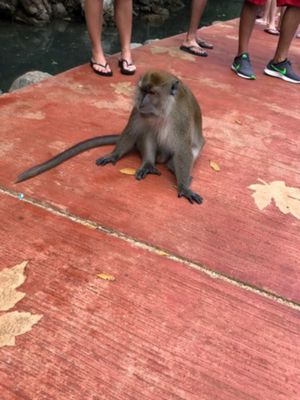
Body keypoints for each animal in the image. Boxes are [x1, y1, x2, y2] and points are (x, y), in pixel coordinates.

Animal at [15, 69, 205, 205]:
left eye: (151, 93)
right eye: (142, 90)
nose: (141, 101)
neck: (162, 110)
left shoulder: (180, 117)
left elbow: (183, 149)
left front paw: (183, 187)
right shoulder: (139, 110)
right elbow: (131, 130)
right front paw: (114, 155)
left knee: (190, 148)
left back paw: (173, 169)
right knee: (146, 132)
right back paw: (148, 164)